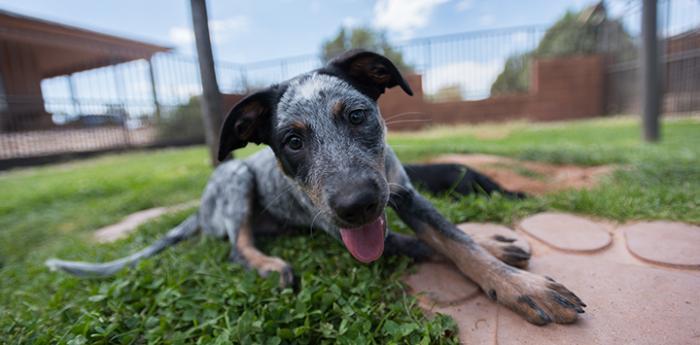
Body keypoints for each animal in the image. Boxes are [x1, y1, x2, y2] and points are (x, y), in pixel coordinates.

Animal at [47, 49, 584, 324]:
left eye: (357, 115)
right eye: (291, 141)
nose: (357, 205)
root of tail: (198, 210)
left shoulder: (403, 191)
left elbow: (455, 240)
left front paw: (506, 270)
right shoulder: (336, 228)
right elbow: (420, 243)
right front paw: (511, 272)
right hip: (238, 178)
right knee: (237, 247)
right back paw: (269, 266)